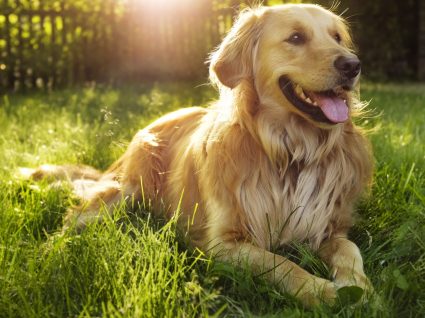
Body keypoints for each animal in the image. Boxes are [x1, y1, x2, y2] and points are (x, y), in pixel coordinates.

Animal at [27, 2, 372, 306]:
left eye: (337, 37)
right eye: (296, 38)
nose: (353, 66)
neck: (290, 152)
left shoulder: (327, 226)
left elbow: (349, 248)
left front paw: (357, 285)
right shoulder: (224, 243)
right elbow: (281, 263)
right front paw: (321, 291)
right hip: (124, 192)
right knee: (71, 220)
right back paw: (47, 258)